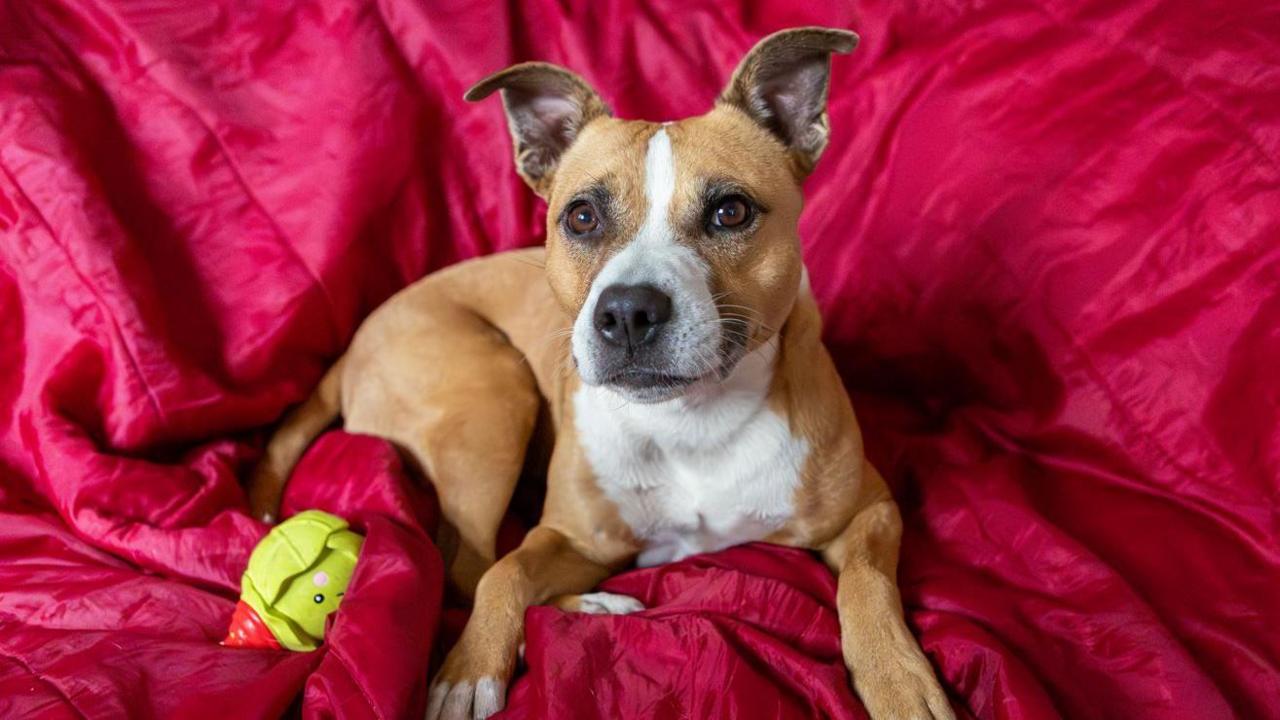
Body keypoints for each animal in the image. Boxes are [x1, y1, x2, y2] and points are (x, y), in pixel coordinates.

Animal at [247, 25, 952, 717]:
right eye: (582, 216)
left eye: (730, 211)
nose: (629, 311)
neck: (692, 420)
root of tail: (358, 337)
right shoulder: (566, 536)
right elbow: (506, 573)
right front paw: (468, 672)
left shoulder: (871, 509)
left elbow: (866, 580)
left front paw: (898, 679)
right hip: (494, 399)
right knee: (469, 567)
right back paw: (593, 603)